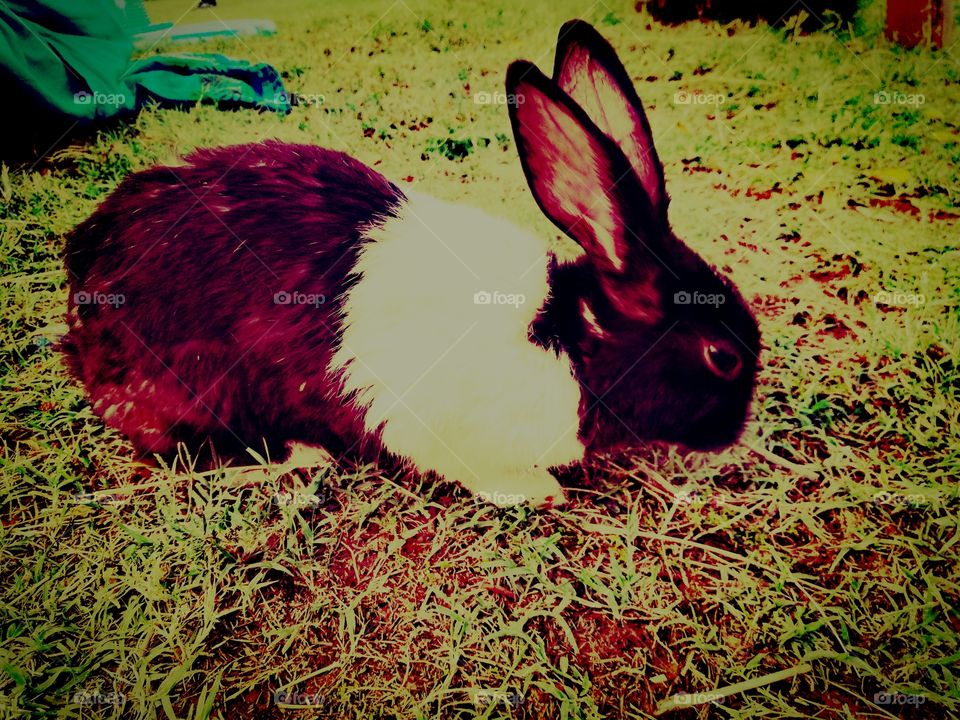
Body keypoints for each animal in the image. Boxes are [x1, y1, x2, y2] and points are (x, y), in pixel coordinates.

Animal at [63, 20, 760, 507]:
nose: (734, 434)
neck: (569, 339)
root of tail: (83, 292)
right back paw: (301, 453)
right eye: (721, 357)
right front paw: (540, 491)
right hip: (200, 388)